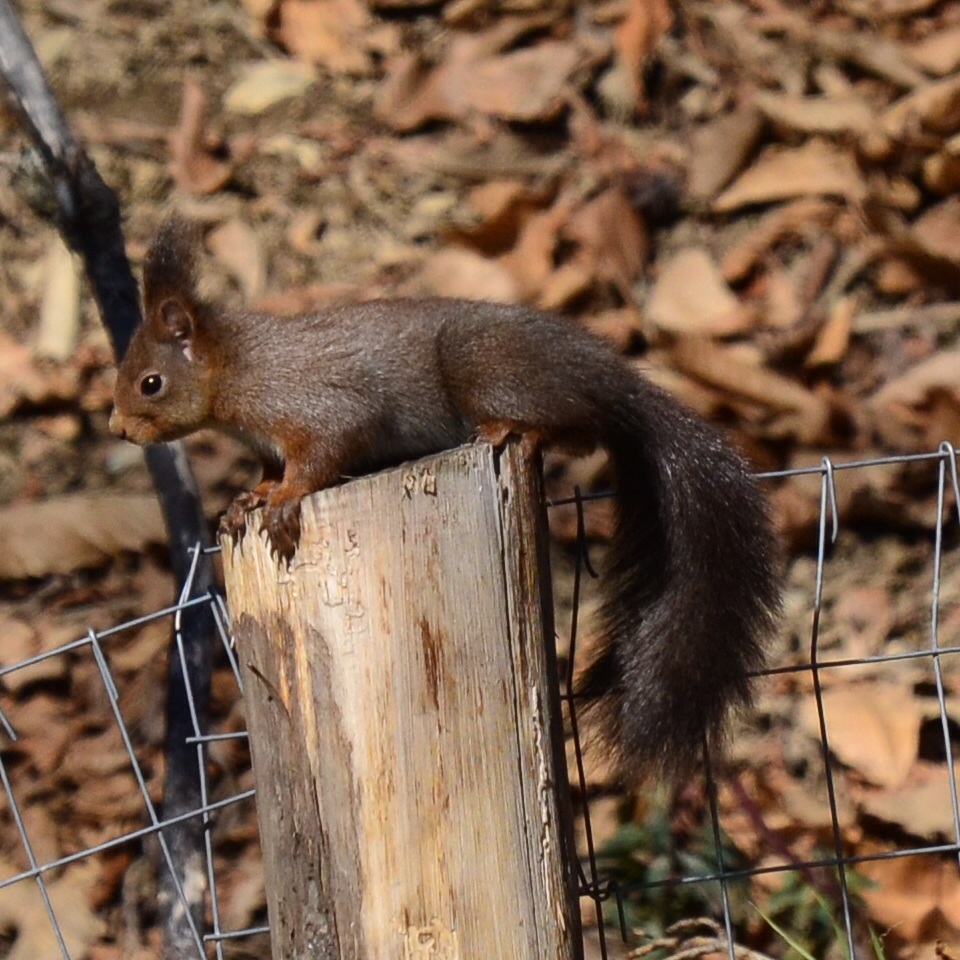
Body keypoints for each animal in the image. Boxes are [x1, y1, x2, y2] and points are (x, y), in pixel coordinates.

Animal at [110, 219, 782, 782]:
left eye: (151, 383)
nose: (118, 429)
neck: (235, 368)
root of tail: (614, 380)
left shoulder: (316, 403)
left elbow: (325, 451)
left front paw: (284, 498)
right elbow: (273, 468)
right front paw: (246, 499)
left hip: (485, 366)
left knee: (578, 427)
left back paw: (515, 431)